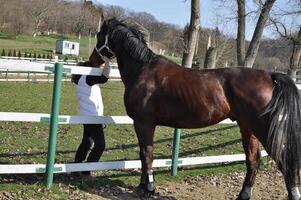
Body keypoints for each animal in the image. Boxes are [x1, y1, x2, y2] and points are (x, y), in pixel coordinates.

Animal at [88, 18, 300, 199]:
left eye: (99, 35)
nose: (92, 60)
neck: (143, 70)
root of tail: (269, 75)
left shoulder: (144, 123)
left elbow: (146, 154)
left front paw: (148, 189)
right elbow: (144, 154)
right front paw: (143, 186)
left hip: (263, 129)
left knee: (282, 159)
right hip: (248, 128)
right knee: (253, 160)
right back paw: (243, 195)